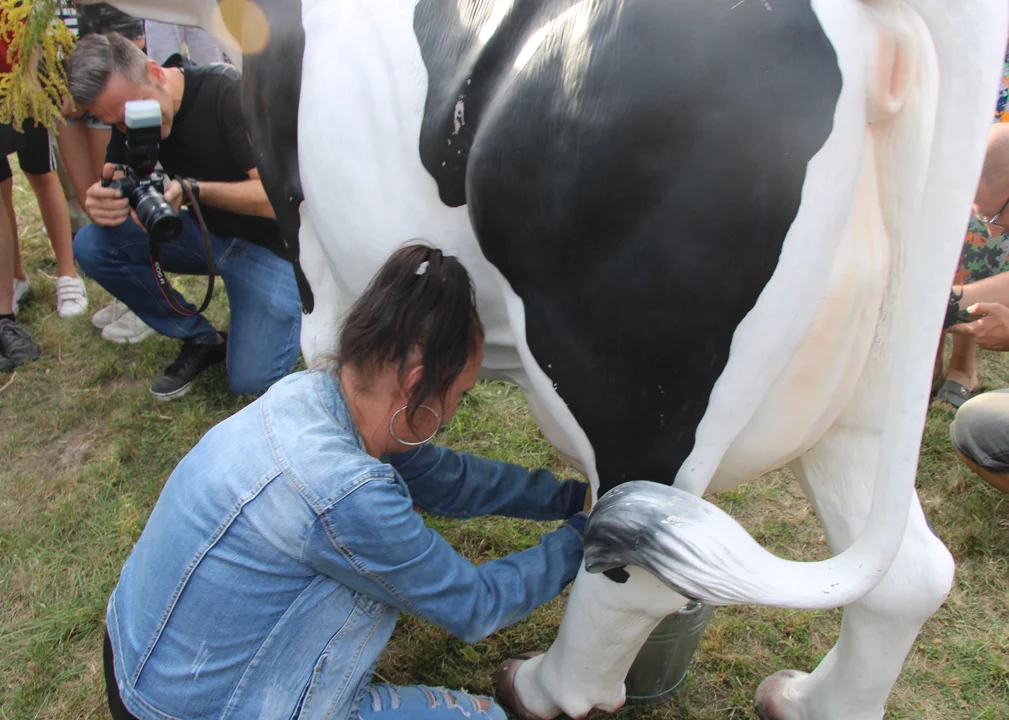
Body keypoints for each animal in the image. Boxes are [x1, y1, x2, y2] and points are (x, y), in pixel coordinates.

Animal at [84, 2, 1008, 713]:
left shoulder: (305, 233)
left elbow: (322, 362)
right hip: (868, 379)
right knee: (909, 572)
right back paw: (807, 700)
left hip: (635, 367)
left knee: (636, 566)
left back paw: (541, 688)